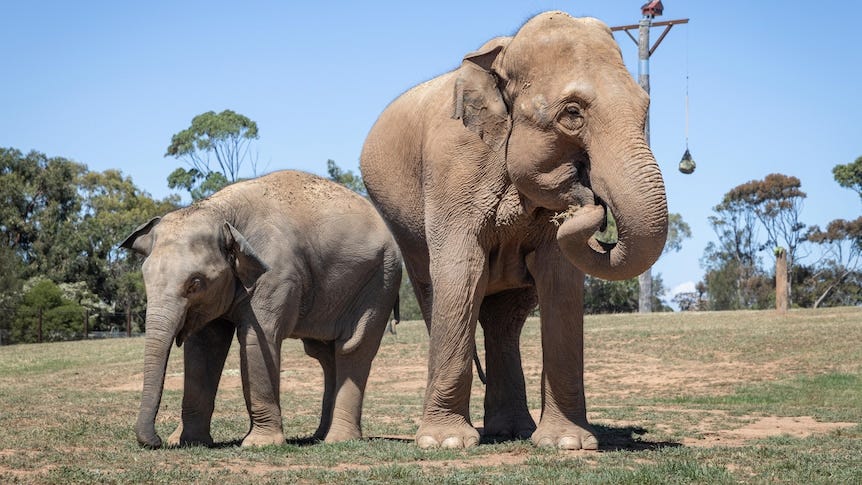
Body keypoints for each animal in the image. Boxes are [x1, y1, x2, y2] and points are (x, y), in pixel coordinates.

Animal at [121, 169, 404, 446]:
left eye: (195, 283)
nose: (156, 440)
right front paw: (188, 441)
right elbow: (203, 347)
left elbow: (257, 340)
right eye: (144, 276)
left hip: (380, 281)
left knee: (354, 346)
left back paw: (338, 440)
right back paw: (319, 436)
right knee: (325, 354)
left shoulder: (276, 275)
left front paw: (259, 444)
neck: (221, 213)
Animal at [358, 12, 668, 450]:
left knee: (505, 319)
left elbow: (561, 280)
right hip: (403, 227)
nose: (587, 195)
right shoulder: (453, 165)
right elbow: (462, 270)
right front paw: (446, 444)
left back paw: (513, 431)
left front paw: (567, 444)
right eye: (572, 113)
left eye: (646, 109)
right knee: (437, 295)